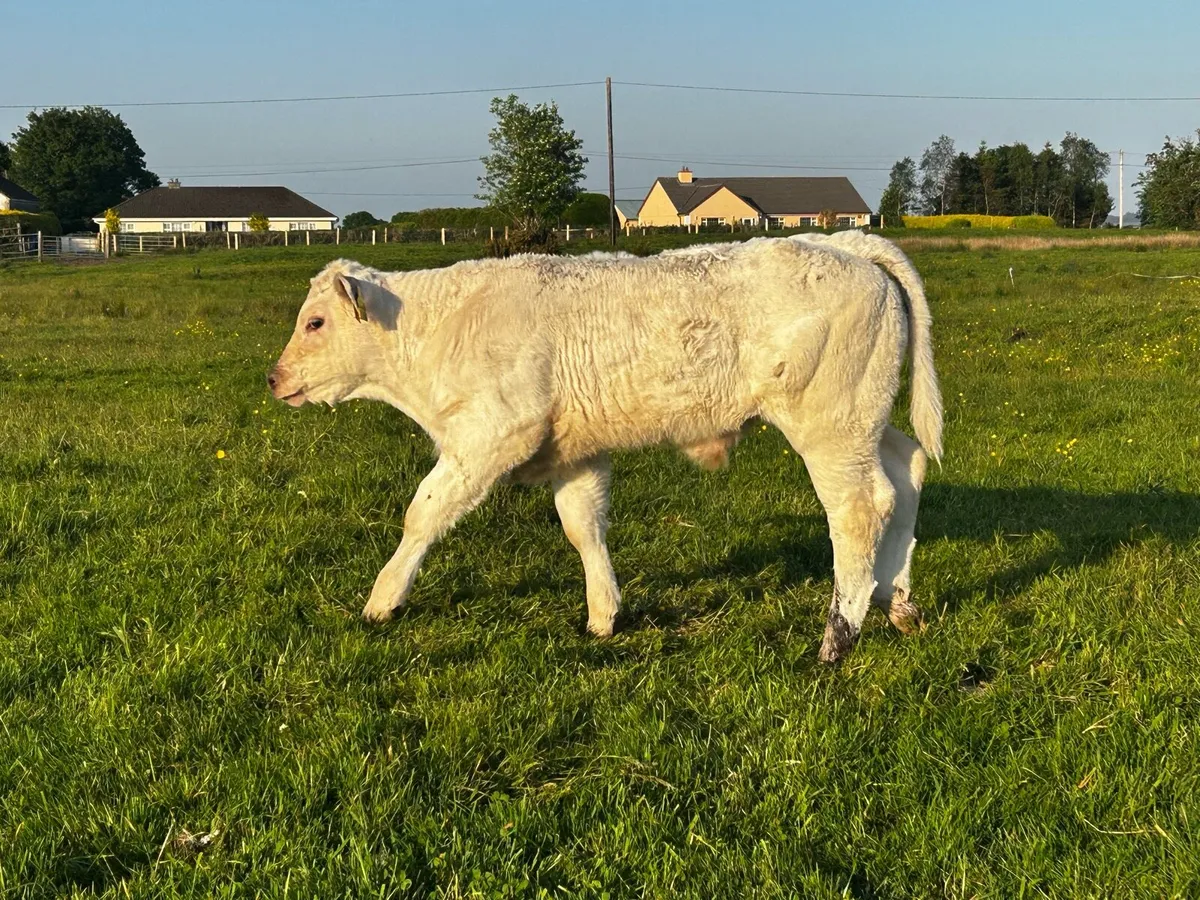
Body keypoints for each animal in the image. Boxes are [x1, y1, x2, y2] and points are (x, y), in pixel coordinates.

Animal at [268, 232, 942, 663]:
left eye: (315, 323)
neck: (440, 328)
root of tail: (845, 244)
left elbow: (422, 514)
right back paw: (898, 603)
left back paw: (839, 636)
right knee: (906, 471)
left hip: (829, 427)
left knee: (859, 509)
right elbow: (583, 526)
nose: (273, 378)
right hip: (865, 422)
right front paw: (603, 614)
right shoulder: (574, 453)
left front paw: (383, 601)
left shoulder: (489, 437)